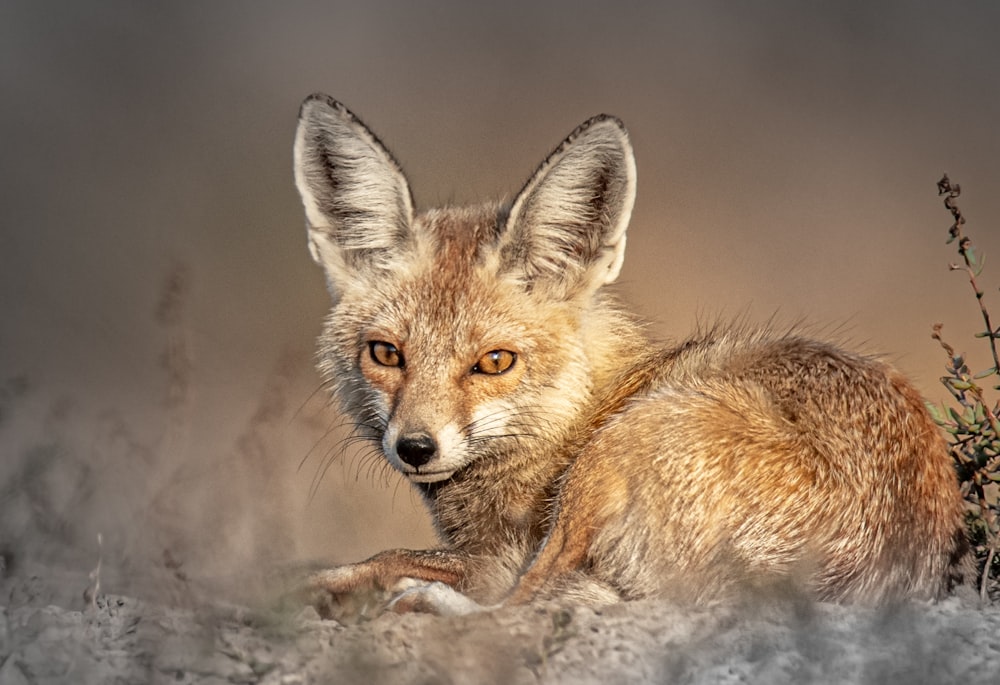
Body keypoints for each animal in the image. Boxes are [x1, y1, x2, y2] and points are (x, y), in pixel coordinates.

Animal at [292, 91, 968, 616]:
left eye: (495, 362)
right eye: (386, 353)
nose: (415, 447)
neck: (571, 413)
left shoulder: (502, 552)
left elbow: (398, 557)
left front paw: (330, 586)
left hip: (610, 456)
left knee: (518, 607)